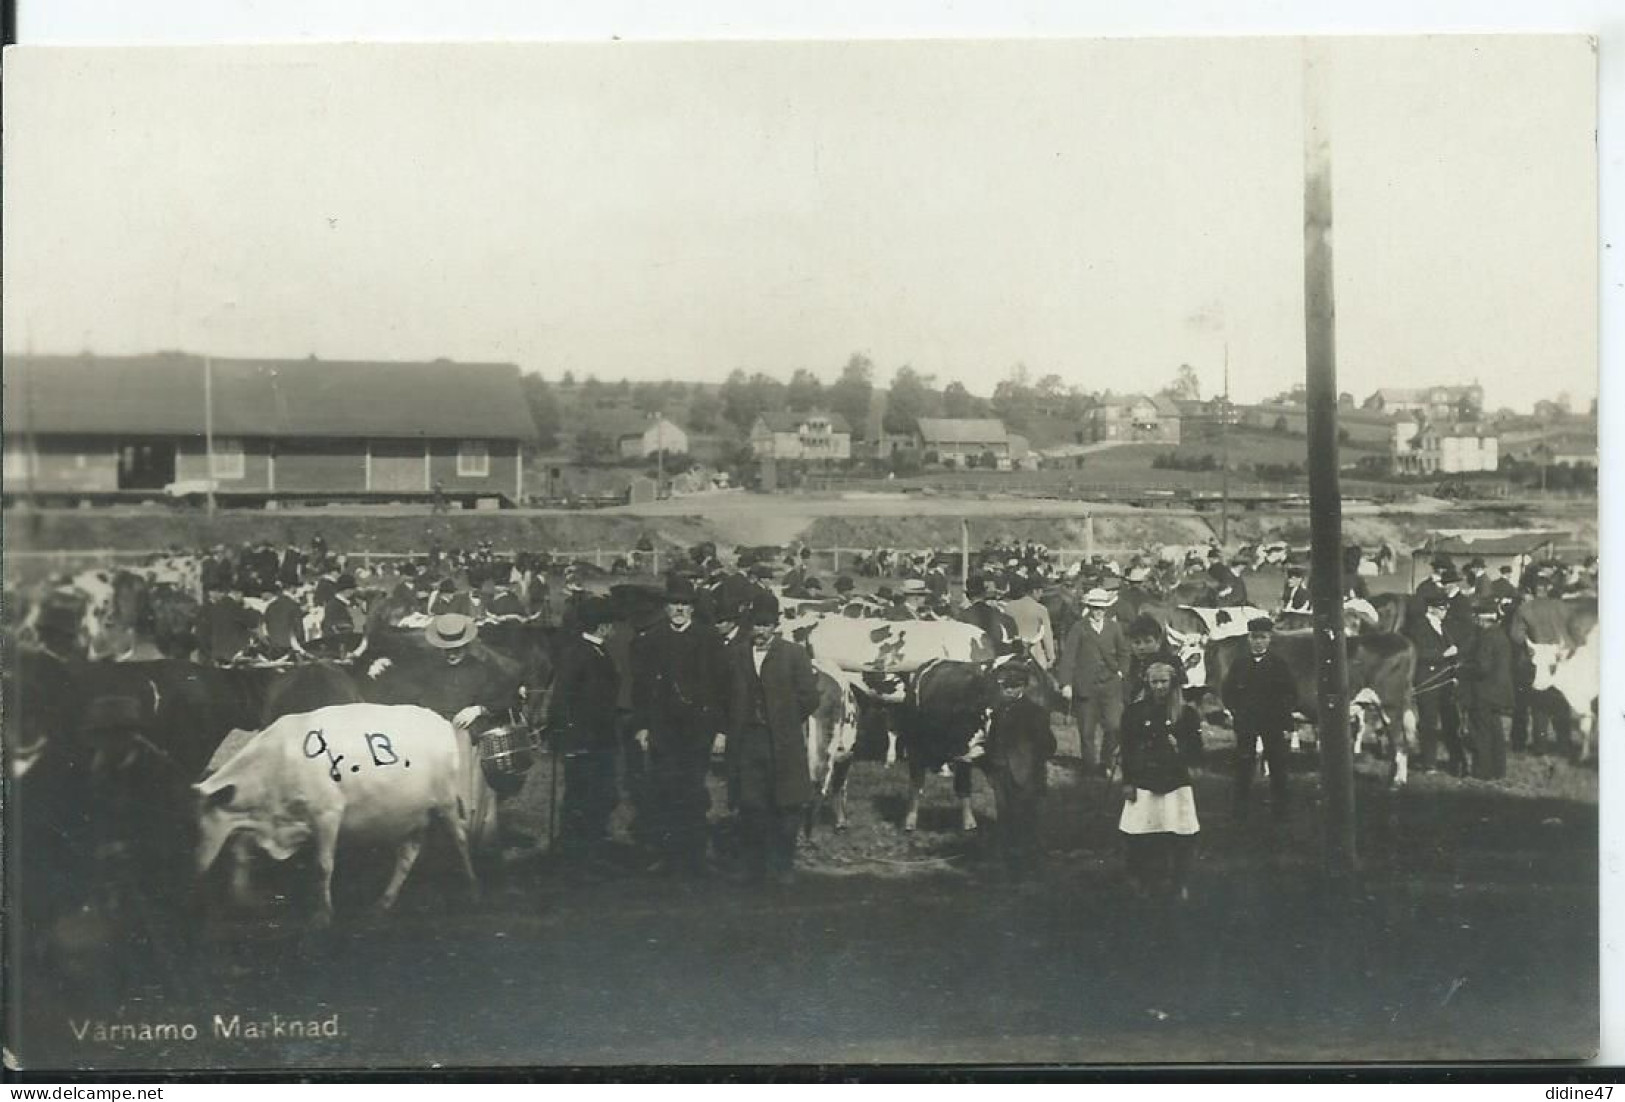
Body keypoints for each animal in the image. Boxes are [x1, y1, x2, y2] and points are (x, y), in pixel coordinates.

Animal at [193, 702, 477, 929]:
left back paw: (472, 886)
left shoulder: (327, 813)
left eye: (199, 825)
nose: (196, 868)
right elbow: (239, 849)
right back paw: (382, 904)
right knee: (407, 856)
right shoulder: (272, 820)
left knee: (461, 839)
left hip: (446, 802)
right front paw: (243, 897)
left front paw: (323, 915)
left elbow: (323, 865)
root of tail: (440, 720)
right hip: (413, 815)